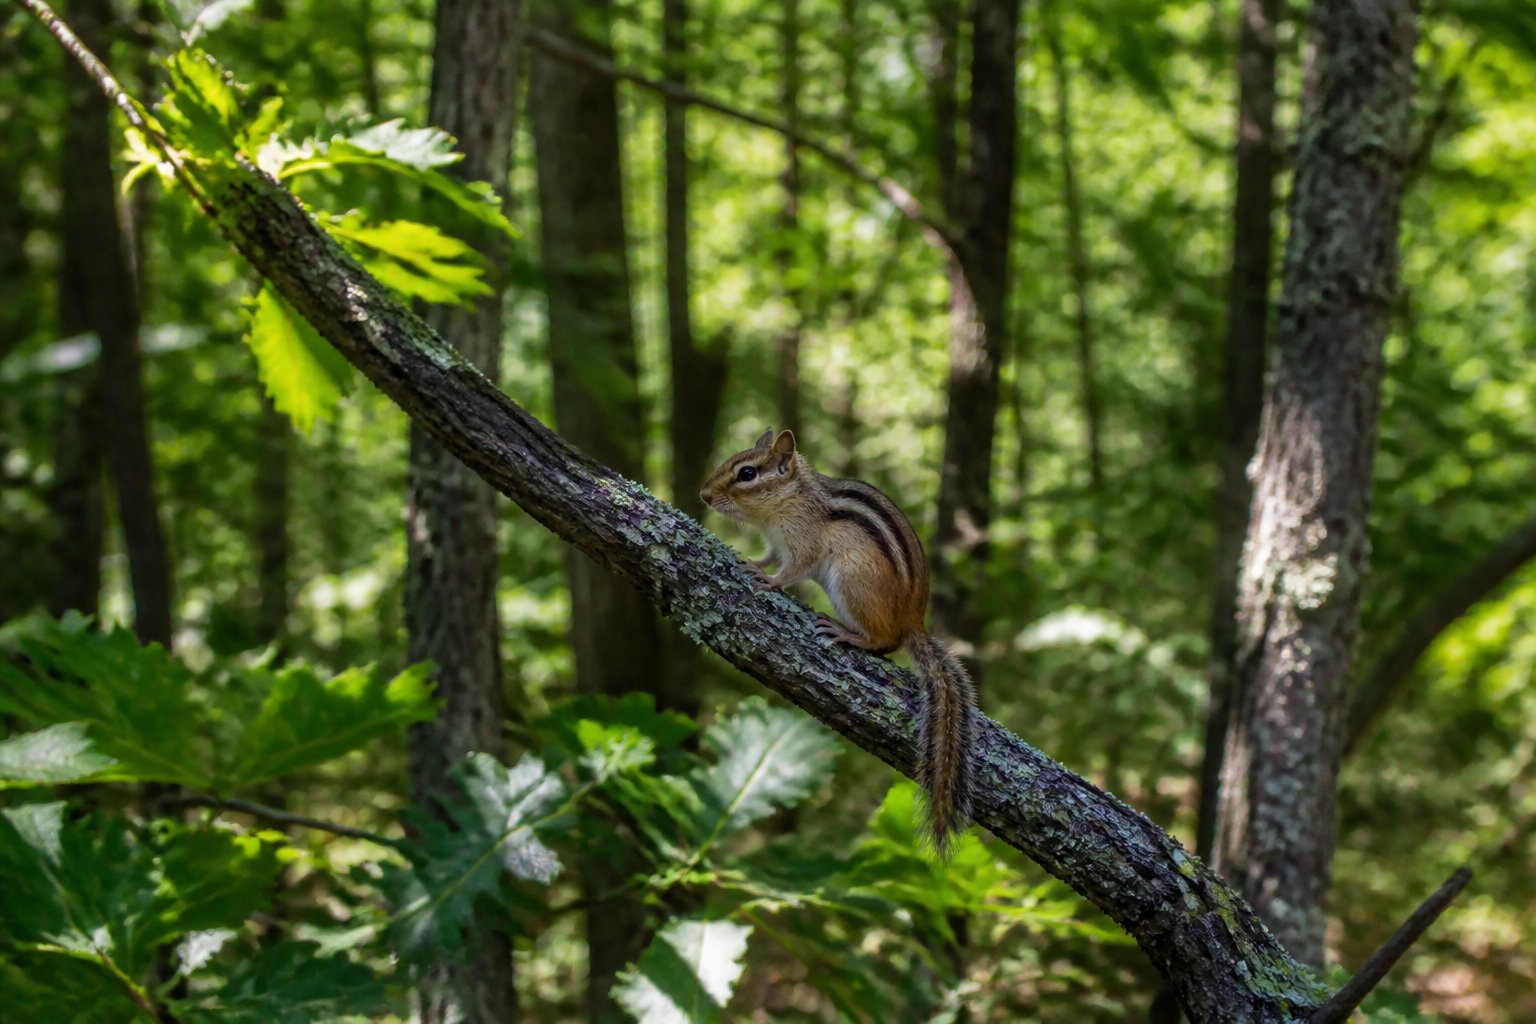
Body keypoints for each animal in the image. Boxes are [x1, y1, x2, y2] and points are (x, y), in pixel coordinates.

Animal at [700, 428, 977, 858]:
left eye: (747, 474)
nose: (704, 495)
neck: (789, 500)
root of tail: (912, 621)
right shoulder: (776, 543)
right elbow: (769, 557)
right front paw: (752, 562)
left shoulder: (803, 543)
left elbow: (791, 569)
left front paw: (769, 581)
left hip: (851, 579)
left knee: (882, 640)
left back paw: (844, 632)